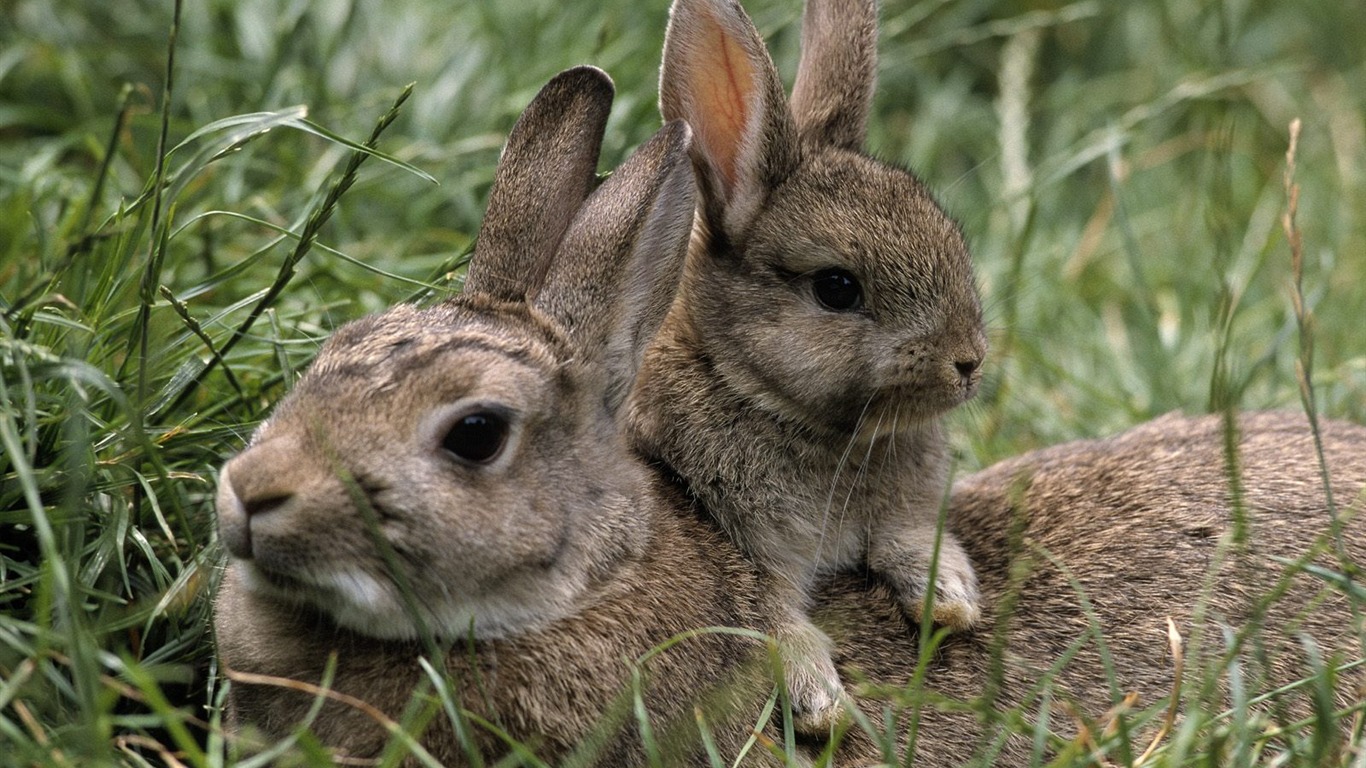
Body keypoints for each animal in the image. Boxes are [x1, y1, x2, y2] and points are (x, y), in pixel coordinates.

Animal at [625, 0, 988, 727]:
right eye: (837, 288)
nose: (968, 362)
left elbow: (907, 537)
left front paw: (950, 598)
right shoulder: (739, 543)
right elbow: (768, 613)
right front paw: (820, 701)